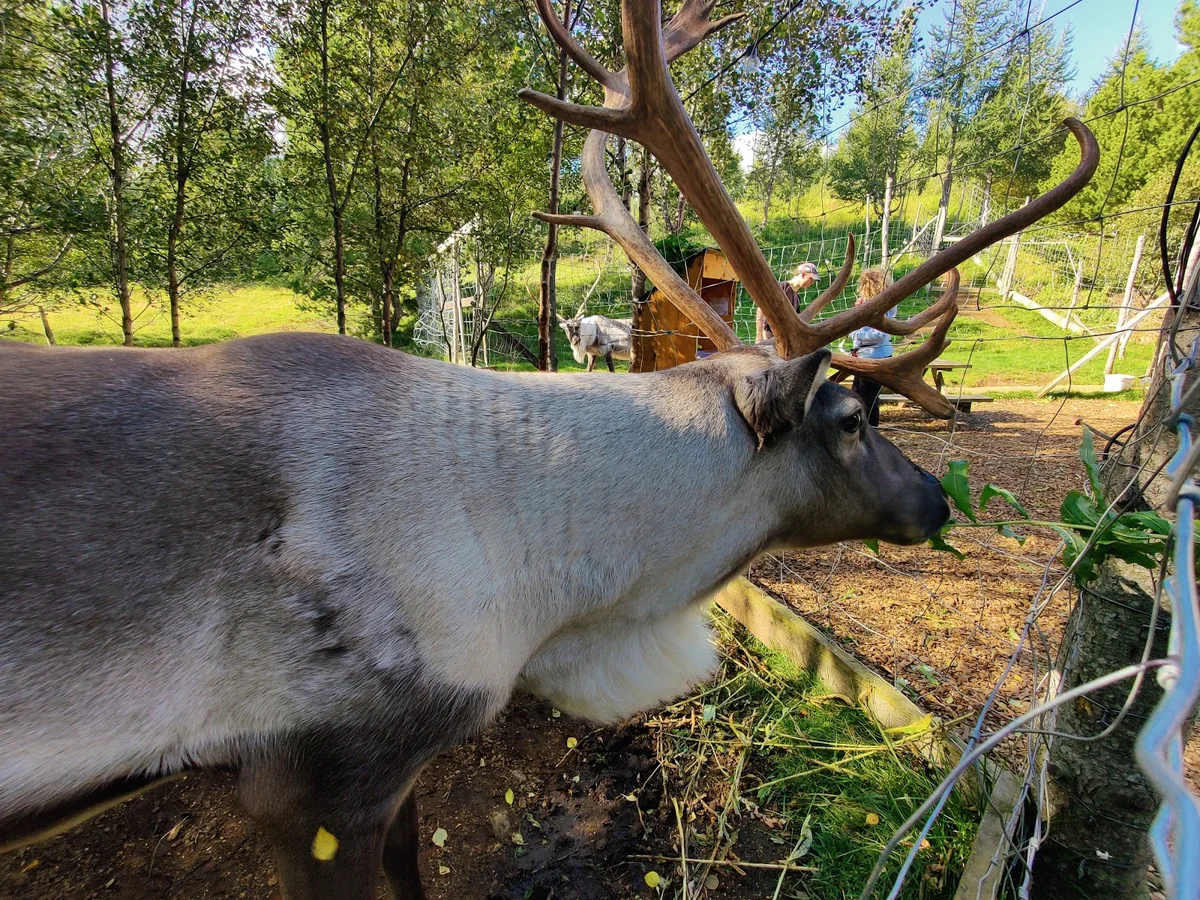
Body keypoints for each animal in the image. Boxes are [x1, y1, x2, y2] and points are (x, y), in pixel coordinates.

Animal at [0, 2, 1097, 898]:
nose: (936, 500)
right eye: (855, 419)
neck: (549, 592)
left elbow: (415, 868)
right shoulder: (314, 782)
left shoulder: (403, 771)